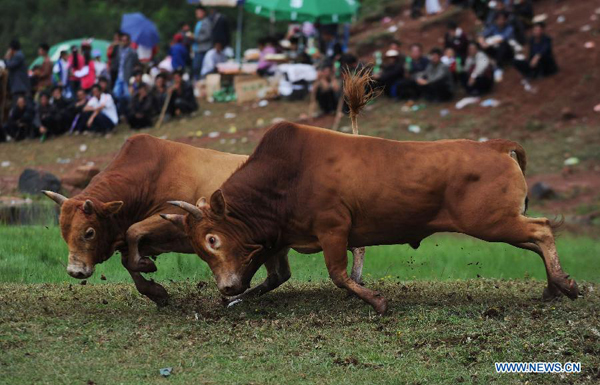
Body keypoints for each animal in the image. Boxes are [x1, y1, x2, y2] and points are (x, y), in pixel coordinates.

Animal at [164, 93, 576, 312]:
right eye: (199, 248)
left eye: (213, 239)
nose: (226, 287)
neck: (283, 177)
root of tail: (494, 146)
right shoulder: (276, 240)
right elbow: (275, 276)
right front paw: (237, 299)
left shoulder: (333, 229)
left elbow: (338, 273)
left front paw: (376, 301)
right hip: (501, 222)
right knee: (535, 238)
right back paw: (552, 287)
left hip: (492, 221)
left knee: (542, 230)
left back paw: (563, 283)